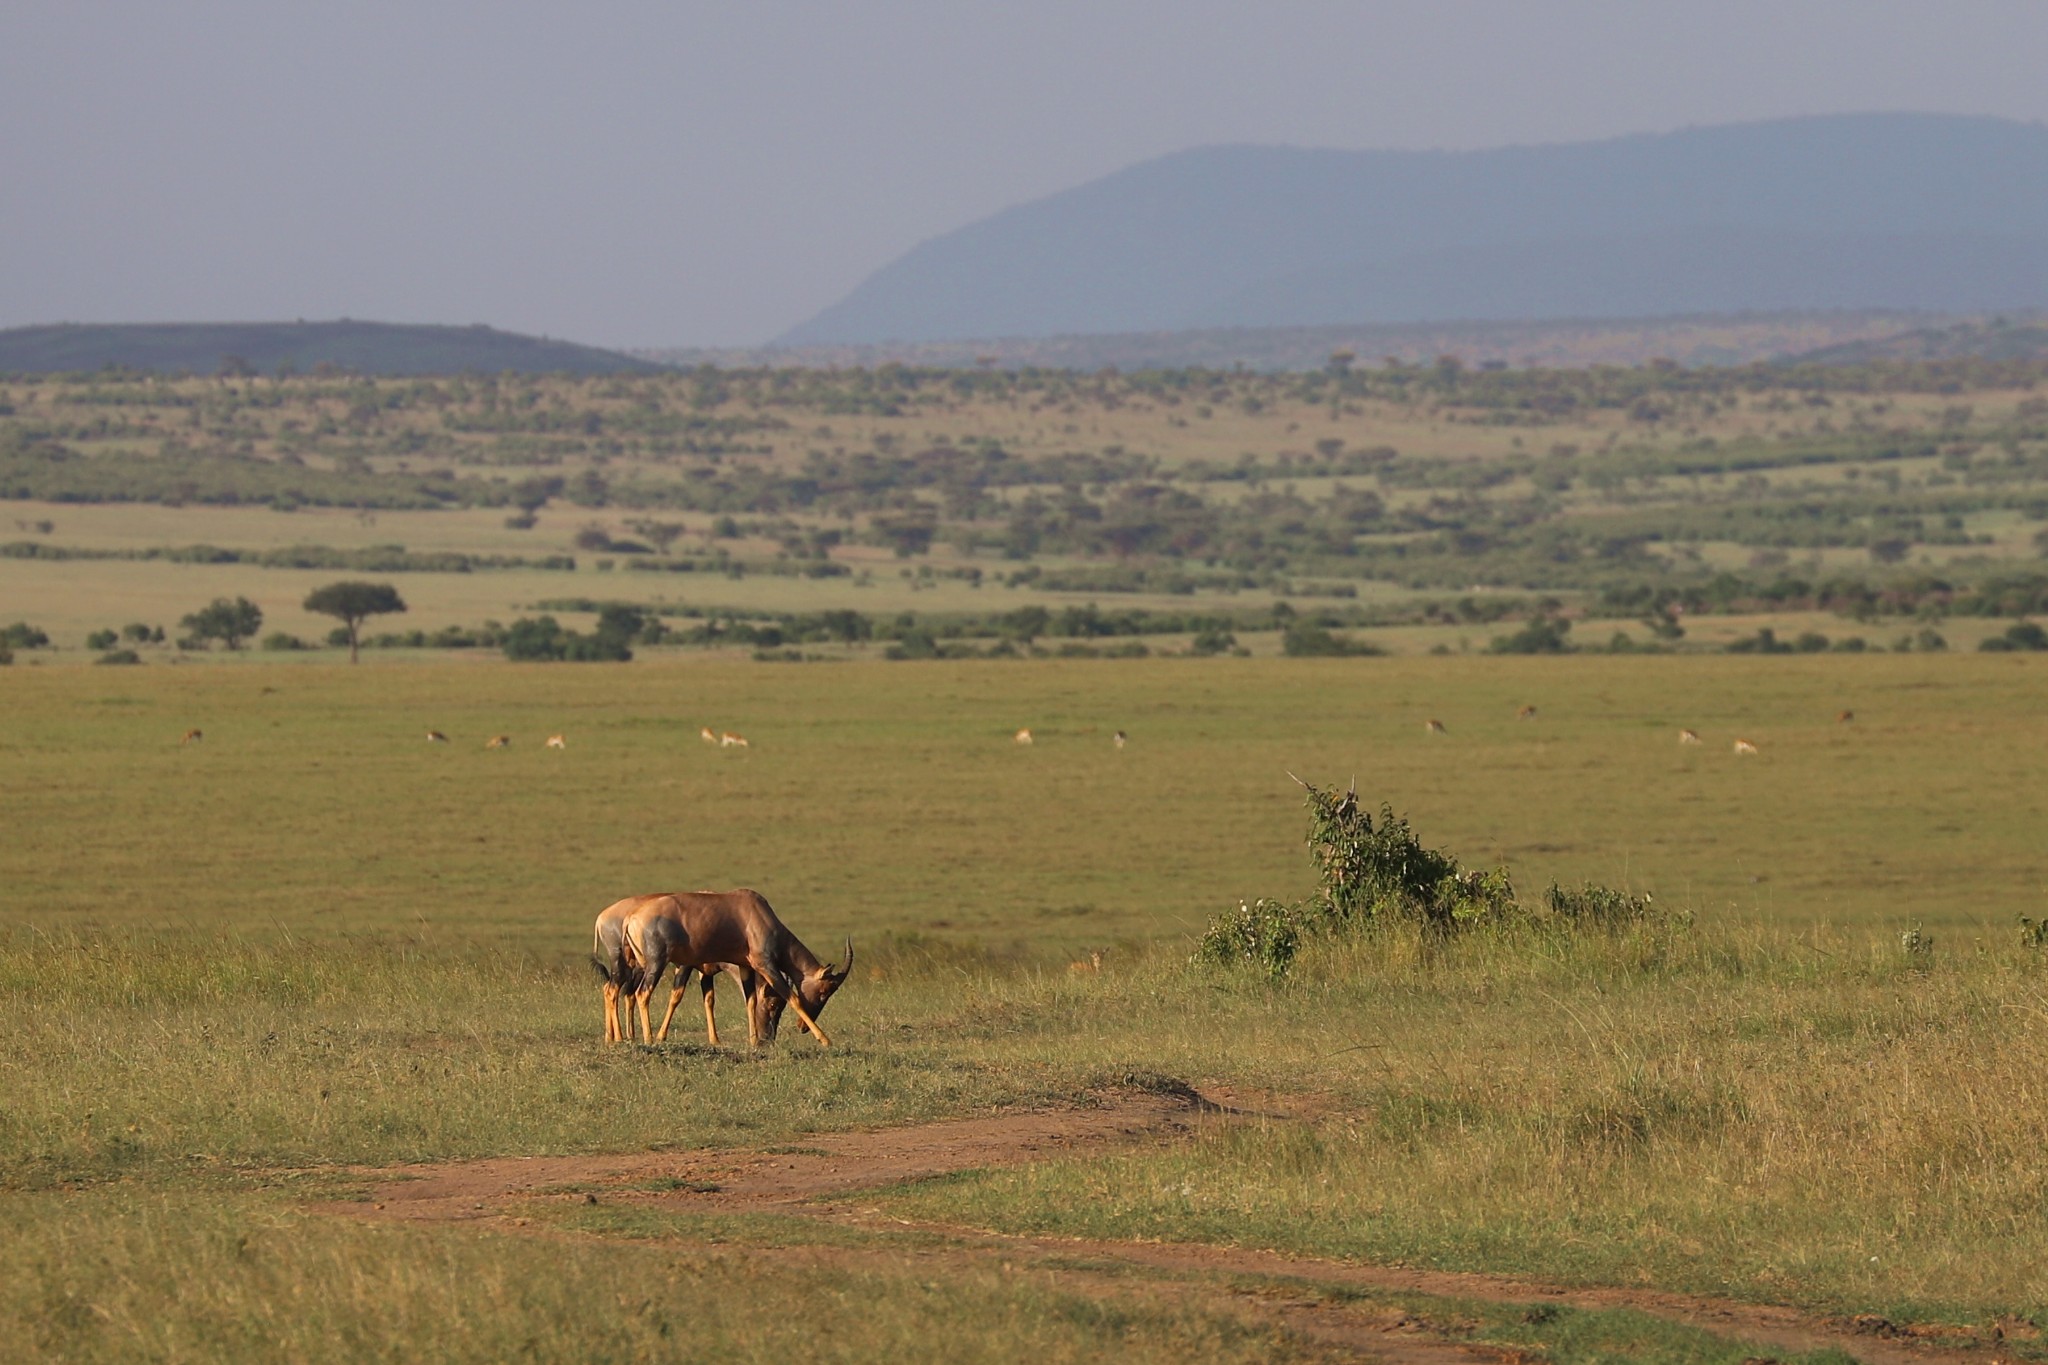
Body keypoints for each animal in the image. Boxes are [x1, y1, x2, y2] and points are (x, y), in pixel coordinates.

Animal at [614, 892, 856, 1055]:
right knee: (642, 993)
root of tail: (631, 918)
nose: (802, 1028)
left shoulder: (745, 967)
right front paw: (825, 1040)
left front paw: (753, 1041)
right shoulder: (765, 965)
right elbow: (793, 997)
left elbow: (749, 1000)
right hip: (656, 963)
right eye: (824, 991)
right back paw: (648, 1039)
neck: (756, 912)